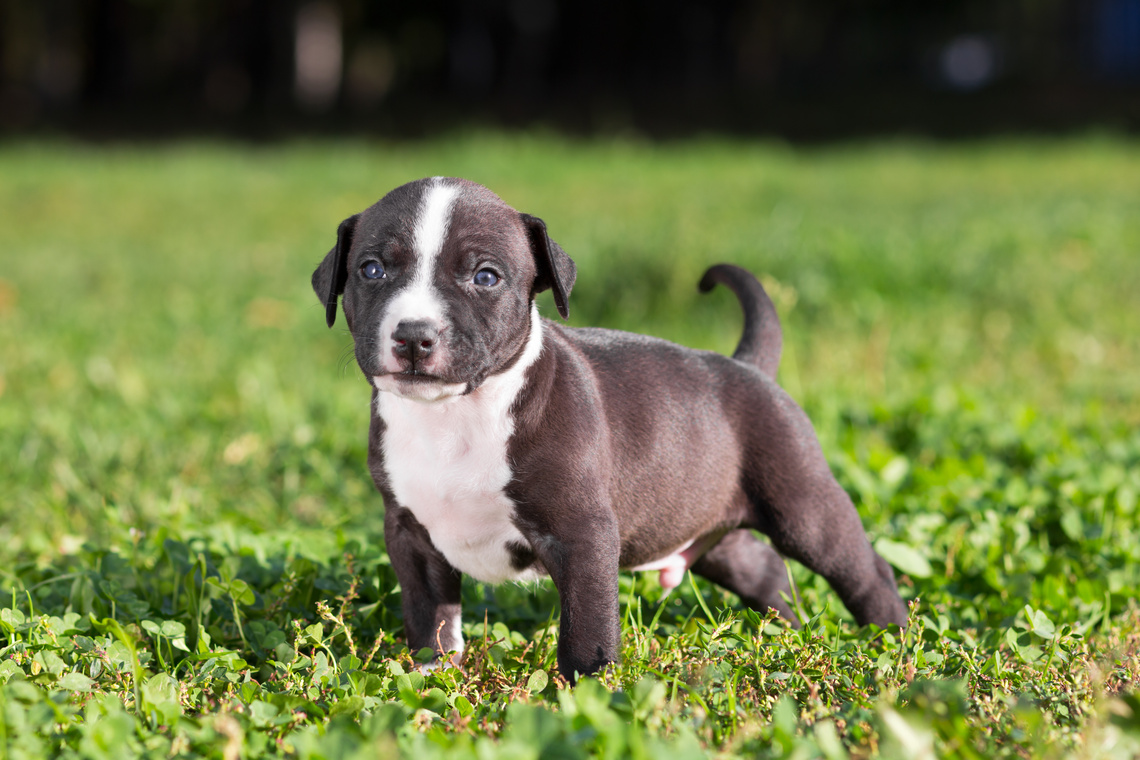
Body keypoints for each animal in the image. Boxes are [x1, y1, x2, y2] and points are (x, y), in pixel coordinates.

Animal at [312, 180, 907, 683]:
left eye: (485, 277)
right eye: (371, 270)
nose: (414, 335)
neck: (454, 414)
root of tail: (747, 366)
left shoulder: (582, 534)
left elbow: (587, 624)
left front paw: (589, 693)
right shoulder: (410, 535)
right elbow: (430, 616)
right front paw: (431, 679)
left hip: (803, 504)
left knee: (864, 568)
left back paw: (894, 641)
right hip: (700, 517)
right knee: (761, 567)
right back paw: (789, 634)